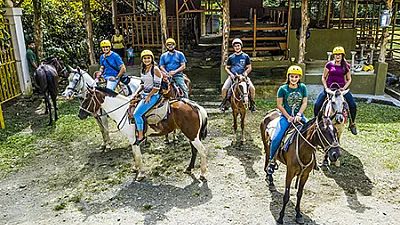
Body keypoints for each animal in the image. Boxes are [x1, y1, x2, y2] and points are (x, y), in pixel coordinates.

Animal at [78, 86, 209, 181]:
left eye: (87, 98)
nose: (80, 114)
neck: (123, 111)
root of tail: (195, 107)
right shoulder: (133, 140)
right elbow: (135, 155)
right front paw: (136, 169)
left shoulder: (133, 139)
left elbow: (138, 156)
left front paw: (140, 174)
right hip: (192, 136)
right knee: (194, 151)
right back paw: (189, 168)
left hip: (192, 136)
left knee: (202, 151)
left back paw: (202, 174)